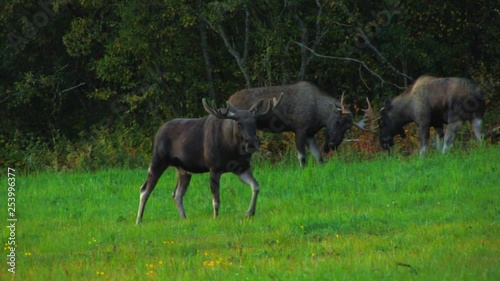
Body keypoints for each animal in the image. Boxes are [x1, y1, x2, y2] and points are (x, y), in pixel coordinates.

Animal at [136, 94, 282, 223]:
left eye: (255, 123)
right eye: (239, 123)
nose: (251, 144)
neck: (232, 147)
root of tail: (158, 131)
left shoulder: (242, 168)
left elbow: (256, 186)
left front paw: (249, 213)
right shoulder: (214, 168)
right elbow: (216, 199)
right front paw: (215, 218)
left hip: (183, 170)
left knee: (177, 193)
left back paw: (184, 218)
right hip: (158, 159)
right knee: (145, 189)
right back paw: (139, 220)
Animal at [229, 80, 366, 165]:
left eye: (348, 128)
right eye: (339, 121)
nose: (332, 144)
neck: (319, 115)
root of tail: (229, 100)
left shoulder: (310, 134)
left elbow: (318, 157)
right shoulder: (300, 130)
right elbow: (302, 158)